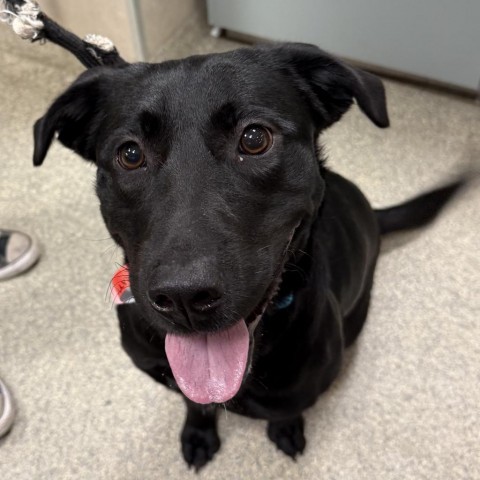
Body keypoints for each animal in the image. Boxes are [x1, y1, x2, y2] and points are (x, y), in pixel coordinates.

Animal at [31, 42, 462, 468]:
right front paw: (198, 432)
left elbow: (286, 409)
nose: (184, 298)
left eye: (255, 138)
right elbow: (195, 403)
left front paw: (285, 429)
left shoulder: (301, 386)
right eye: (130, 154)